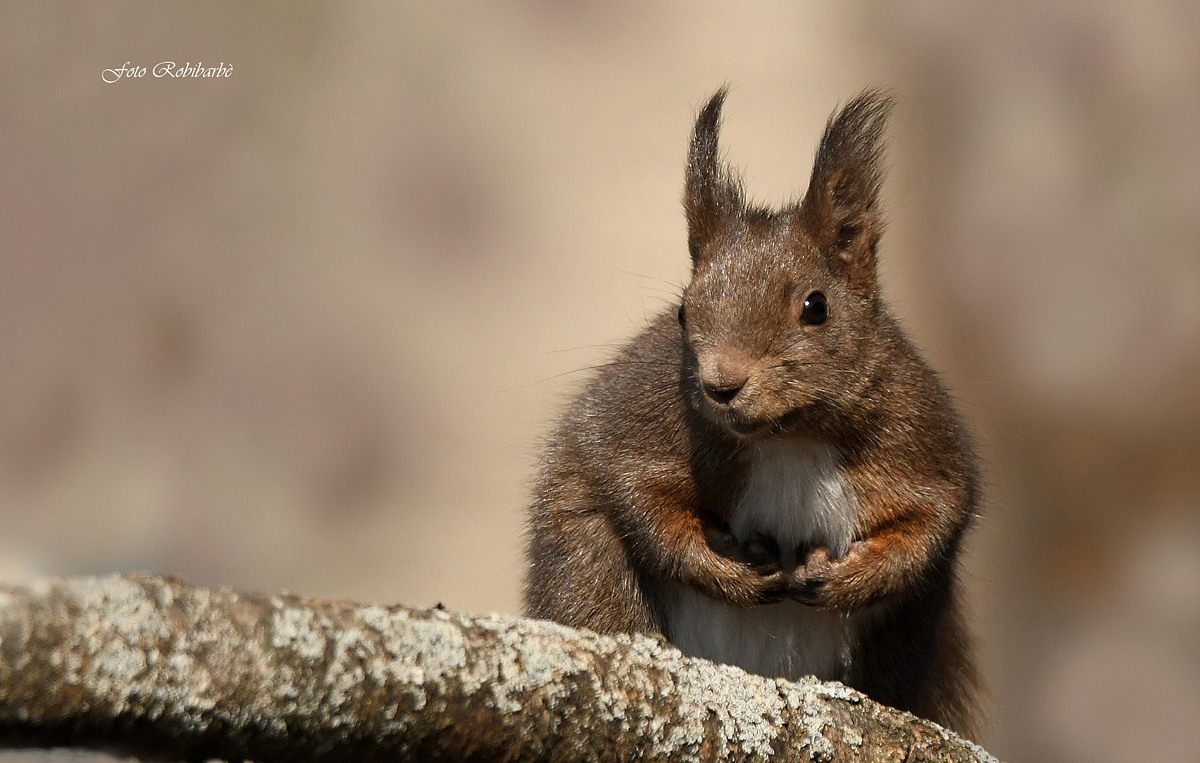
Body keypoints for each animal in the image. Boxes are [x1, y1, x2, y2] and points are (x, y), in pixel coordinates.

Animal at [523, 88, 981, 738]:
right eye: (684, 311)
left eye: (816, 307)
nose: (721, 384)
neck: (788, 441)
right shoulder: (636, 428)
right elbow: (638, 499)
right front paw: (730, 570)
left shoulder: (923, 439)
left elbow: (932, 523)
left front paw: (847, 577)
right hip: (588, 573)